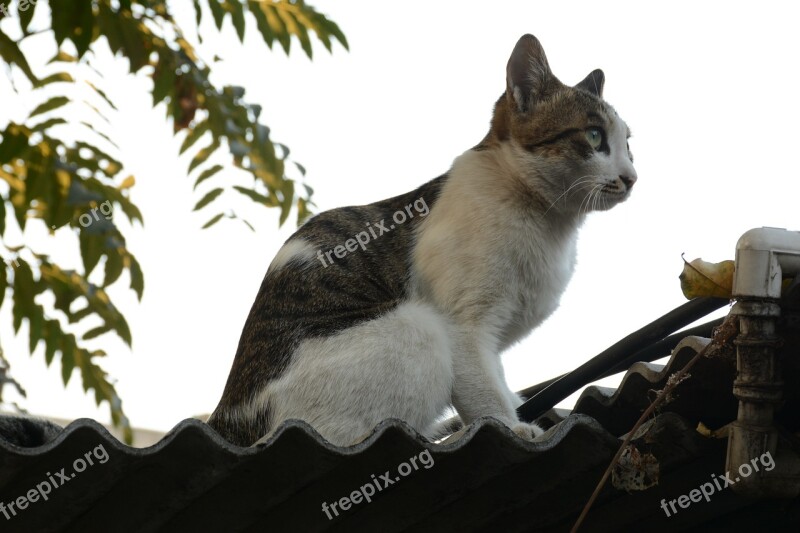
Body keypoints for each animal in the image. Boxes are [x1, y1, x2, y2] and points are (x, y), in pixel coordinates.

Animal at [206, 33, 636, 446]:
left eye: (629, 146)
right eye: (594, 136)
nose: (632, 177)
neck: (549, 223)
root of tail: (226, 415)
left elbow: (495, 379)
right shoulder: (464, 327)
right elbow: (485, 394)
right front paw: (511, 426)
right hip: (418, 327)